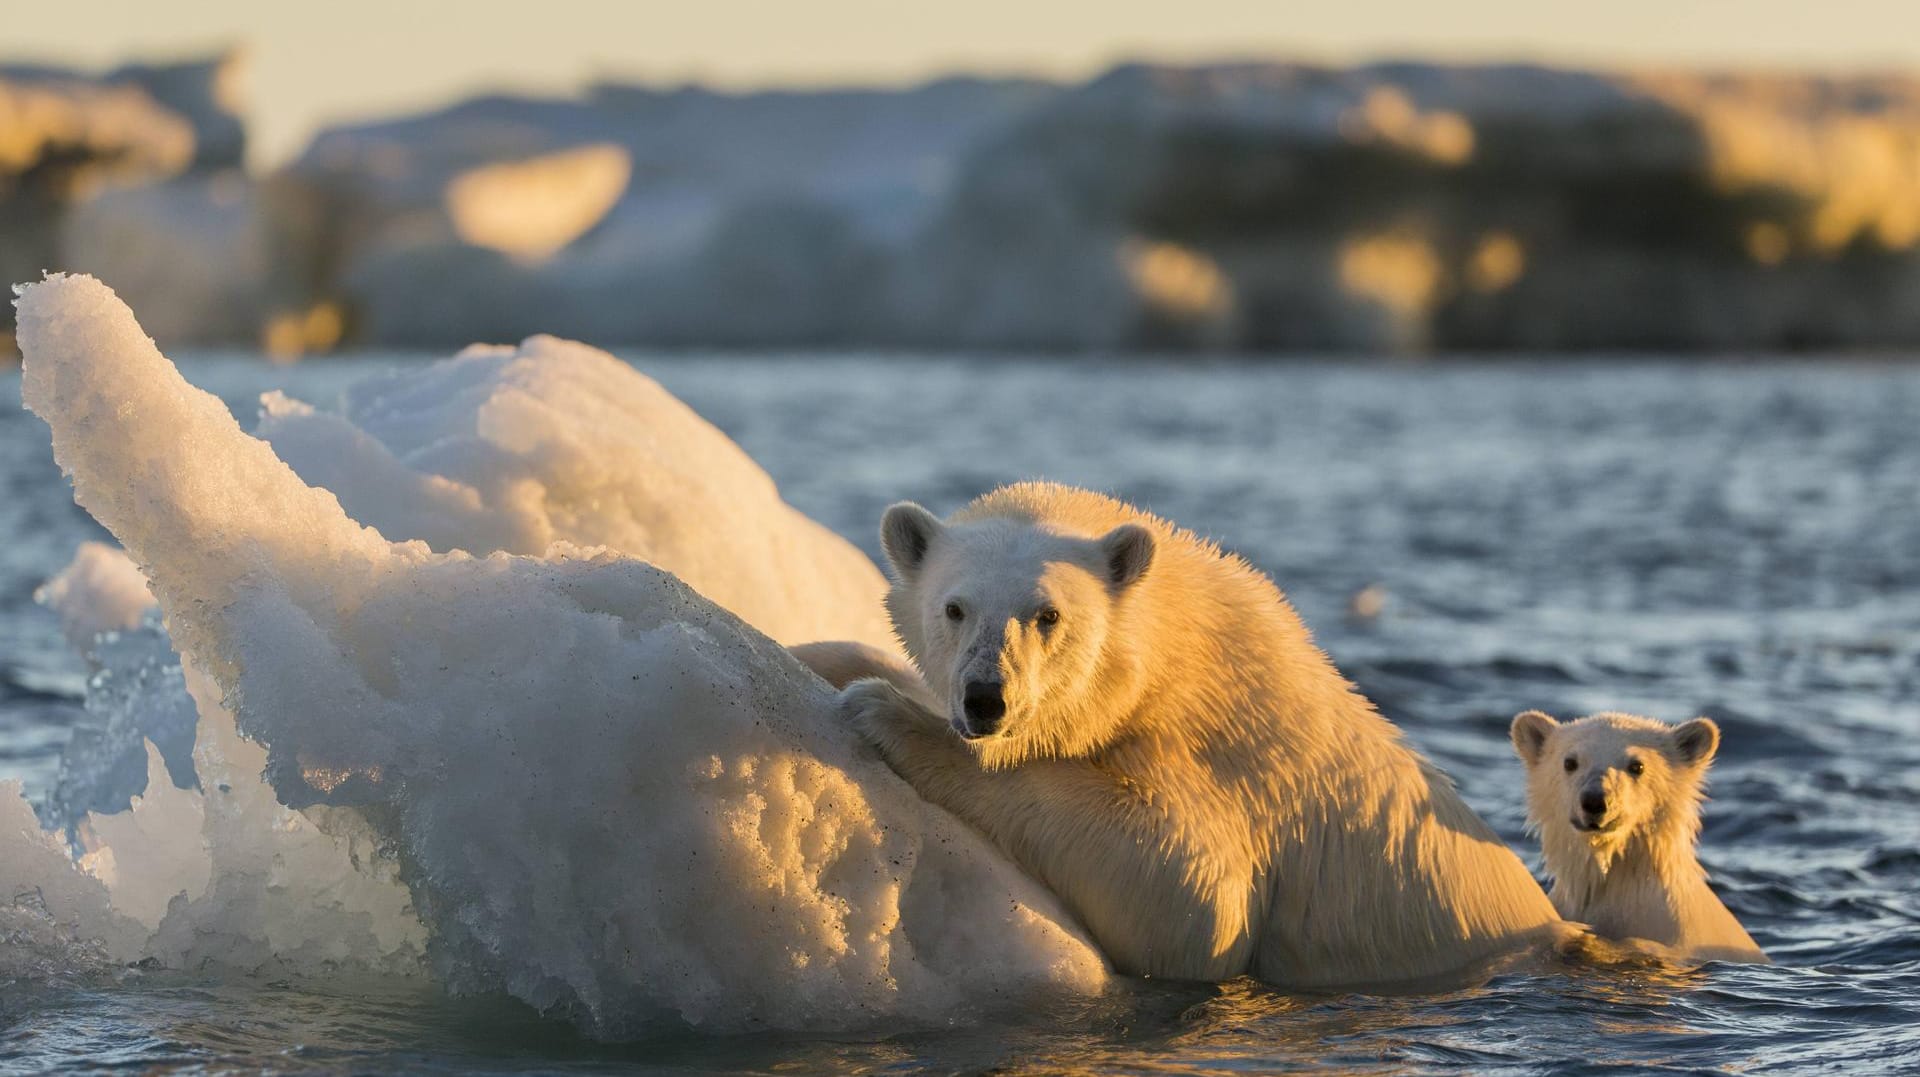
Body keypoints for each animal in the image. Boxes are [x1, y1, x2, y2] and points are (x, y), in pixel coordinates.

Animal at [840, 483, 1559, 990]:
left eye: (1047, 615)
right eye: (954, 608)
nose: (986, 698)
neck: (1181, 655)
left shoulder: (1226, 769)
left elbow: (1195, 894)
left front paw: (885, 710)